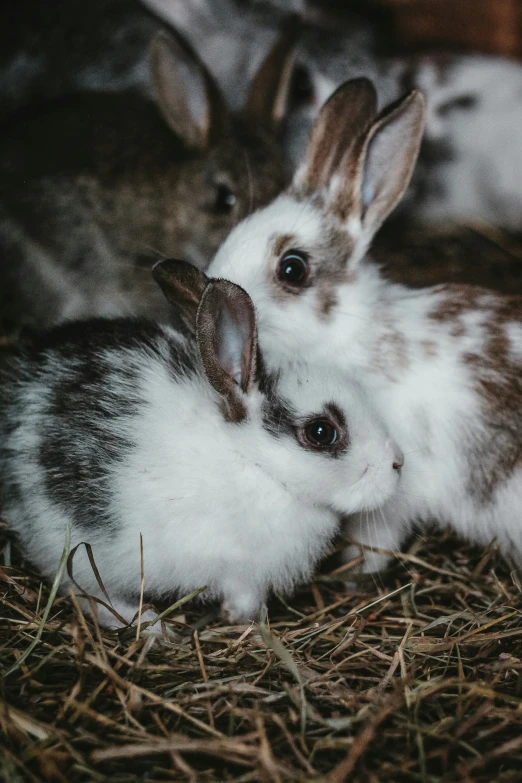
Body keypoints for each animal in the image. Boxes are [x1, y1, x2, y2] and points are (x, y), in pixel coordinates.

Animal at [0, 258, 402, 632]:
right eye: (321, 432)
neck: (255, 463)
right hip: (76, 544)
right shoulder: (239, 571)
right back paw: (151, 626)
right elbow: (244, 598)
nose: (397, 464)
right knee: (87, 592)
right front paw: (250, 623)